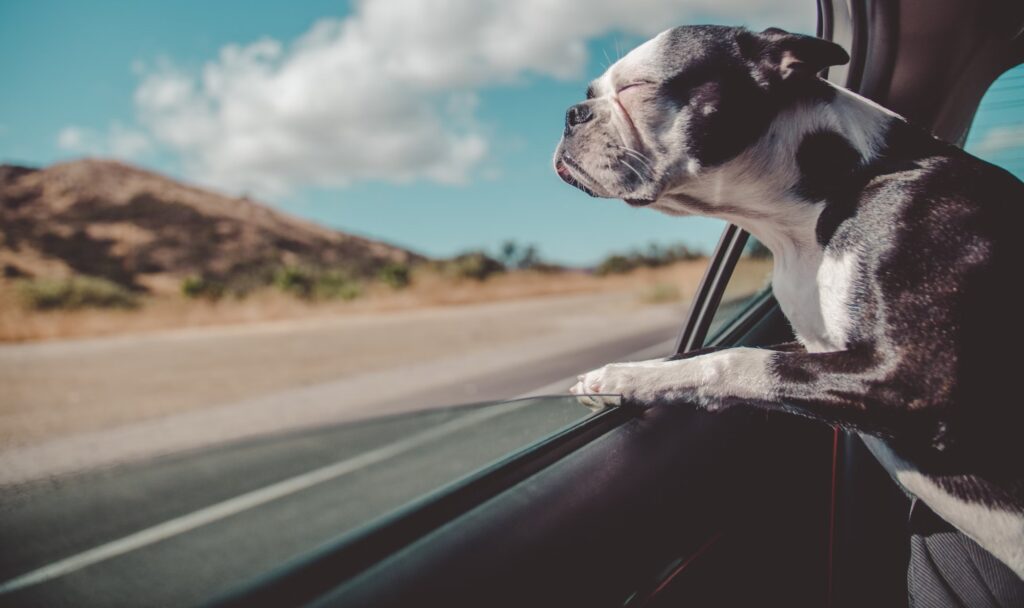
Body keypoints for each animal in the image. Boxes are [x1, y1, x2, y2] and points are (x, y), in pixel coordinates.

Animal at [561, 24, 1024, 577]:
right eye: (590, 93)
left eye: (636, 88)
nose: (571, 113)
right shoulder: (816, 349)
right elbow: (704, 352)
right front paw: (626, 376)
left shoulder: (912, 378)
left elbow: (733, 361)